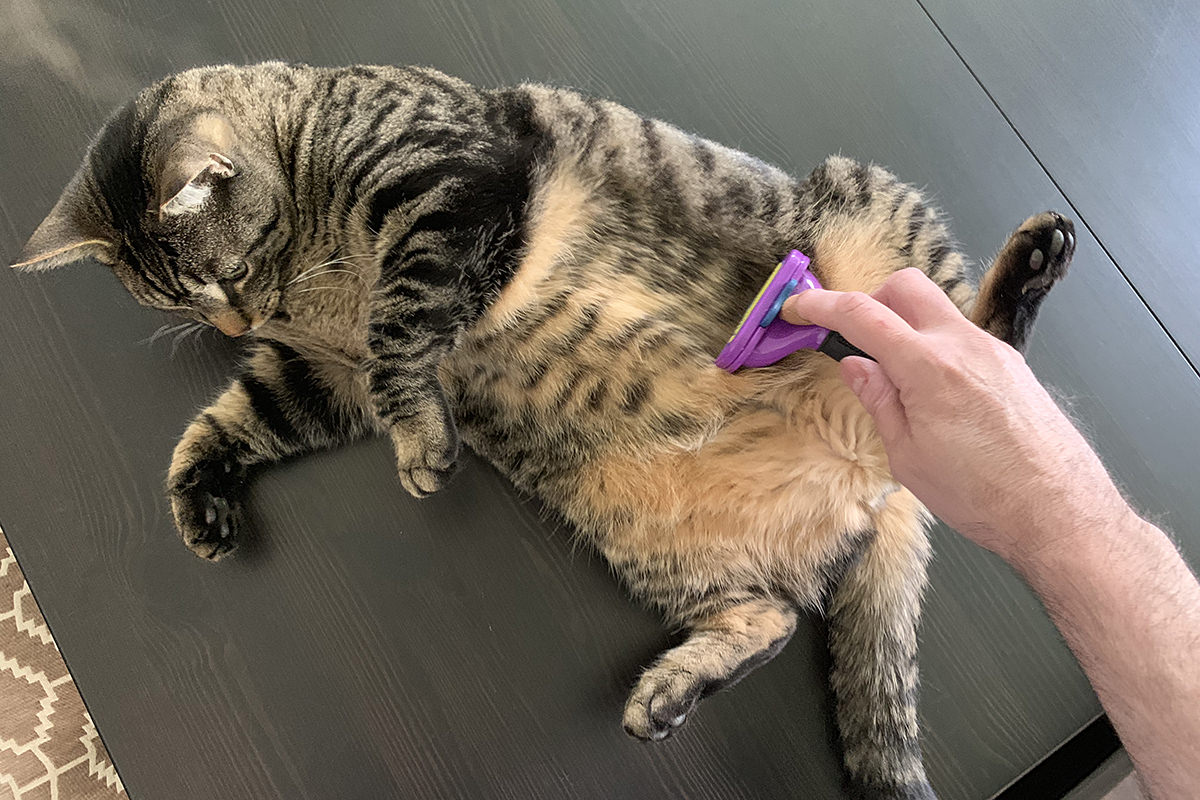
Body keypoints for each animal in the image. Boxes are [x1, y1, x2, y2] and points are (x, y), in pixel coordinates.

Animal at [11, 64, 1080, 800]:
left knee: (982, 339)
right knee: (769, 619)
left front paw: (422, 447)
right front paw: (200, 500)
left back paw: (1027, 269)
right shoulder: (317, 374)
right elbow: (237, 419)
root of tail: (883, 472)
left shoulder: (449, 189)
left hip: (871, 223)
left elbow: (403, 324)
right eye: (184, 302)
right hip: (658, 542)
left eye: (219, 277)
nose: (233, 325)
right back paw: (668, 694)